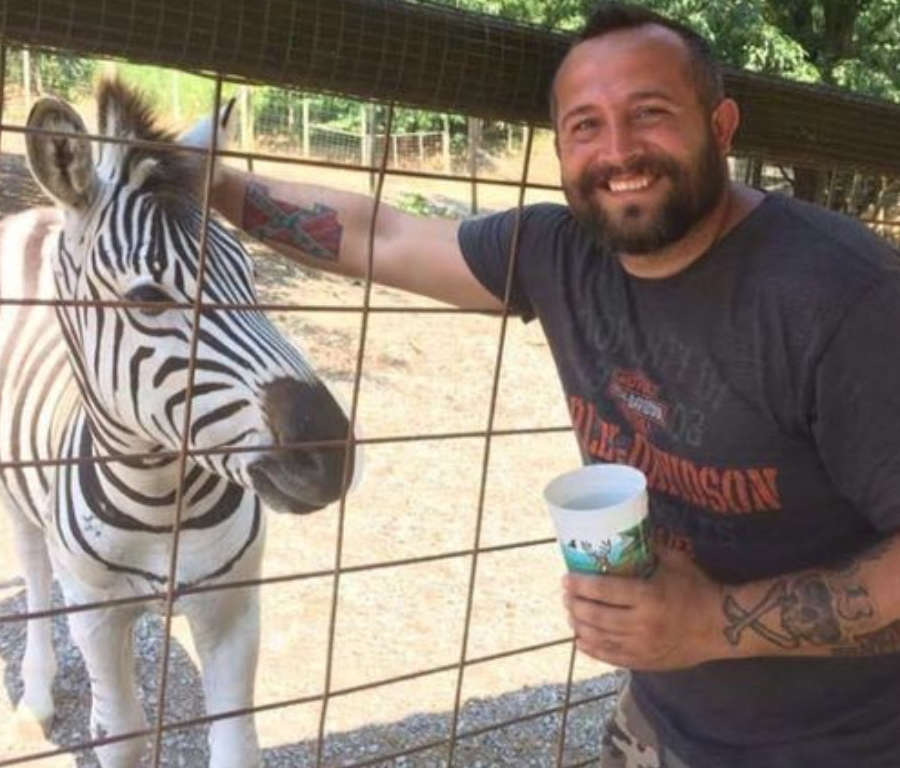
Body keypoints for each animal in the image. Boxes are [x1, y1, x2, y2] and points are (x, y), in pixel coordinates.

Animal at [0, 80, 356, 768]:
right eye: (148, 299)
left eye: (252, 276)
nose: (329, 455)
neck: (161, 498)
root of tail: (37, 217)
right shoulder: (96, 611)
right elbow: (122, 734)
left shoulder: (233, 603)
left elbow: (238, 743)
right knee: (34, 573)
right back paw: (35, 698)